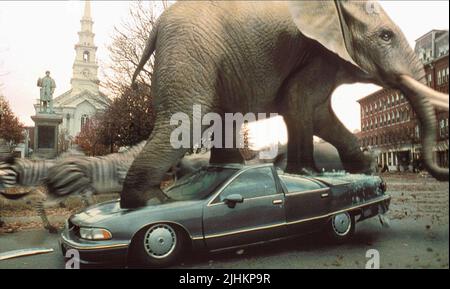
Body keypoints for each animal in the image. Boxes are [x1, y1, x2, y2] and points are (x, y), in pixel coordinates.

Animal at [121, 1, 448, 209]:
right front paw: (307, 172)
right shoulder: (317, 54)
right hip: (189, 51)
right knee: (187, 118)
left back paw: (229, 169)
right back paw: (153, 202)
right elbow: (298, 102)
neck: (336, 7)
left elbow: (320, 114)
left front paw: (362, 166)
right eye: (385, 35)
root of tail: (158, 26)